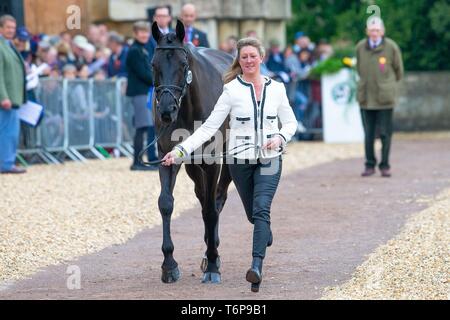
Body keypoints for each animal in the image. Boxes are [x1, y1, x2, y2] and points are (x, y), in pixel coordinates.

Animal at [152, 21, 236, 284]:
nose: (166, 110)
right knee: (202, 196)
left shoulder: (212, 162)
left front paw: (213, 265)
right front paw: (169, 265)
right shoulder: (168, 157)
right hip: (191, 165)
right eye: (154, 64)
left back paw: (213, 252)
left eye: (183, 64)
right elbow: (166, 204)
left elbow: (210, 209)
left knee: (217, 199)